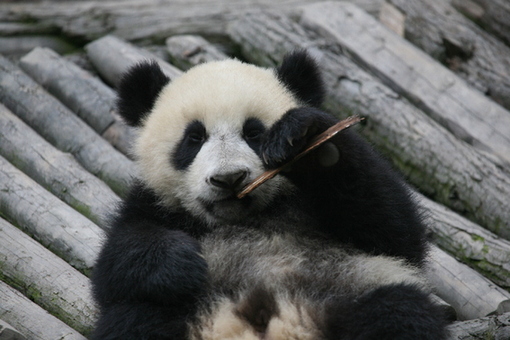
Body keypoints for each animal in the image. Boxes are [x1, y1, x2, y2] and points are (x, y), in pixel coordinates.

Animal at [91, 51, 450, 340]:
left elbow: (393, 229)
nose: (229, 179)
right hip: (181, 312)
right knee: (137, 320)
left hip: (351, 294)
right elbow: (116, 262)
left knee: (397, 312)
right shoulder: (154, 204)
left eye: (254, 132)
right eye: (194, 138)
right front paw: (183, 262)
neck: (249, 217)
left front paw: (306, 141)